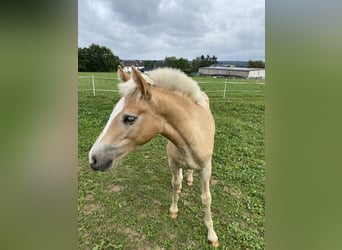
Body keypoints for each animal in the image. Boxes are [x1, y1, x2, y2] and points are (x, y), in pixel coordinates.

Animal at [88, 65, 219, 247]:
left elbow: (206, 199)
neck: (192, 134)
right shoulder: (173, 163)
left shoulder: (206, 169)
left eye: (130, 118)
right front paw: (173, 211)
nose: (93, 158)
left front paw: (212, 235)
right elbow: (175, 184)